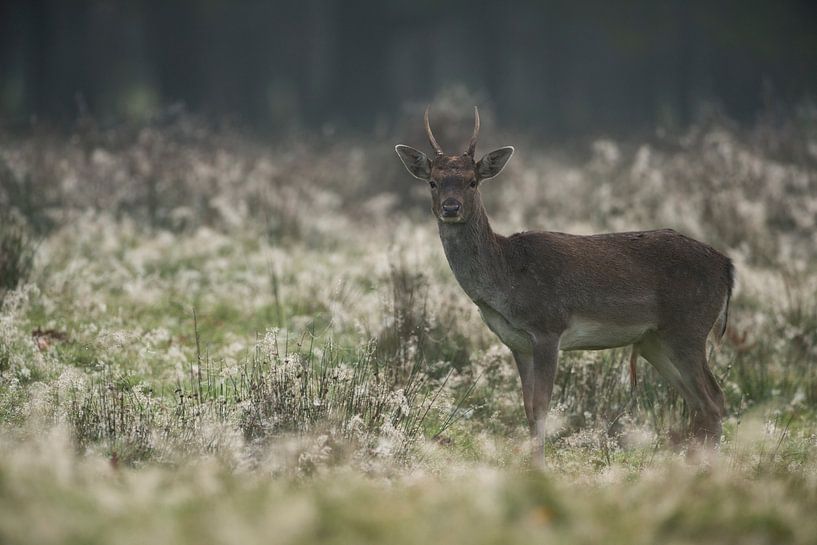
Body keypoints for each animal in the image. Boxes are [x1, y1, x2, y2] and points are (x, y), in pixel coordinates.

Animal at [395, 106, 734, 462]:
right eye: (433, 182)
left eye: (472, 182)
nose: (451, 207)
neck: (507, 279)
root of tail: (726, 266)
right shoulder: (517, 343)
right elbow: (528, 408)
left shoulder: (548, 328)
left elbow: (542, 406)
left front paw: (539, 466)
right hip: (655, 340)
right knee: (698, 403)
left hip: (689, 327)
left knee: (714, 399)